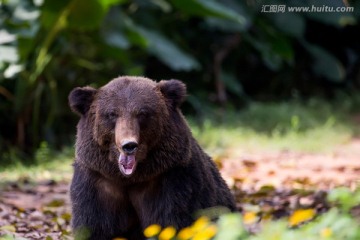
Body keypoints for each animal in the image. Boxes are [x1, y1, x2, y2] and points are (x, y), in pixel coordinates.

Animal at [69, 76, 236, 239]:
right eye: (112, 114)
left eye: (142, 113)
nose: (129, 145)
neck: (130, 178)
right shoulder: (98, 182)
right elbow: (95, 226)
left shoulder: (171, 180)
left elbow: (170, 222)